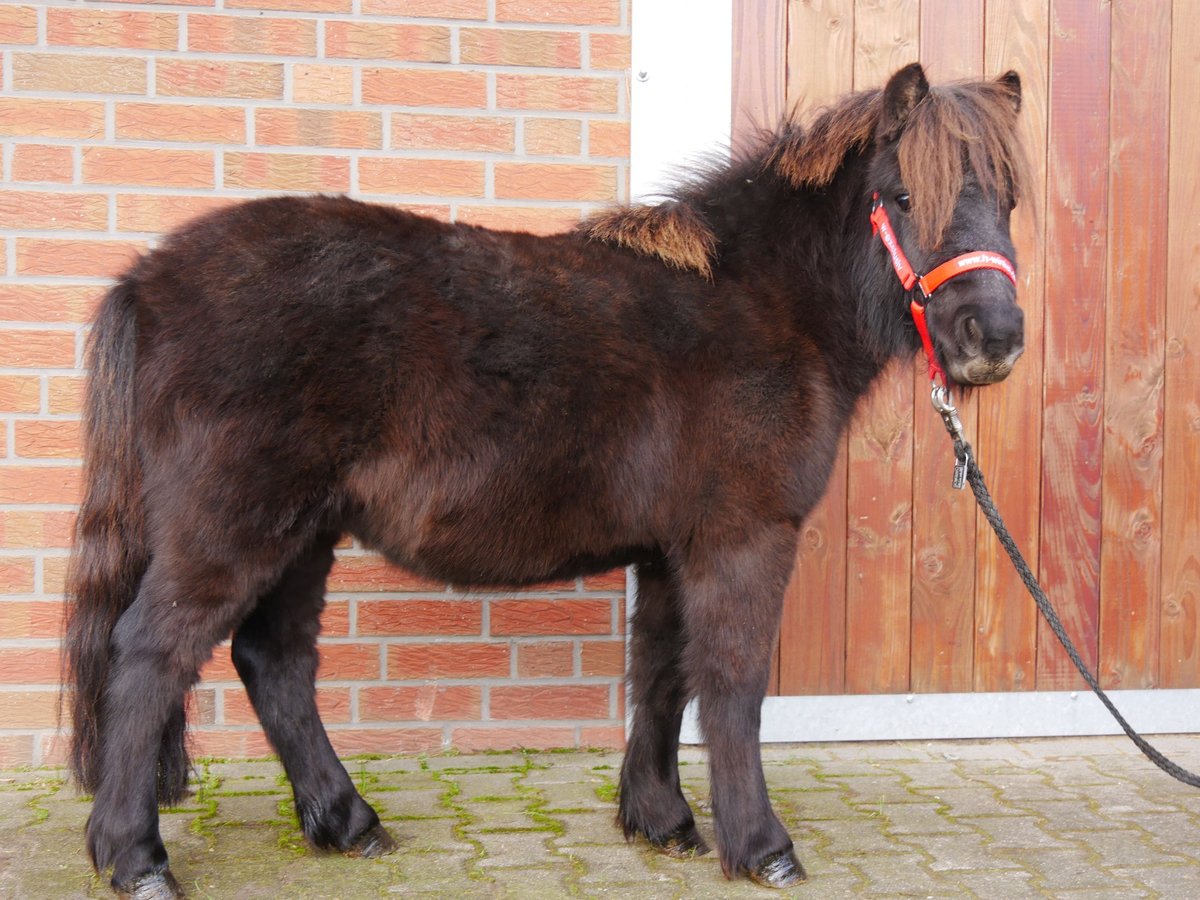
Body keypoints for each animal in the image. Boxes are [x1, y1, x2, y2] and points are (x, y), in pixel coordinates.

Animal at [63, 61, 1022, 897]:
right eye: (906, 197)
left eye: (1009, 201)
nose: (994, 337)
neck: (765, 302)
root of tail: (148, 280)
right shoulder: (742, 536)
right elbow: (732, 681)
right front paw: (759, 845)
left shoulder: (669, 548)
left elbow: (662, 672)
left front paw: (661, 819)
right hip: (232, 528)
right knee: (149, 655)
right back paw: (136, 856)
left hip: (302, 532)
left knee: (275, 662)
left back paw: (347, 822)